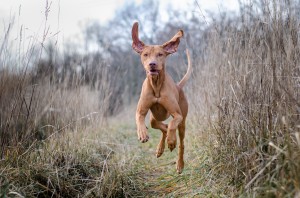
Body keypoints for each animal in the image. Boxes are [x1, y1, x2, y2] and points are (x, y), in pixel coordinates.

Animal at [132, 22, 192, 173]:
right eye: (145, 54)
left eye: (160, 54)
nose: (152, 64)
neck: (156, 86)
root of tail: (178, 86)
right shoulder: (140, 111)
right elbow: (140, 120)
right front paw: (142, 134)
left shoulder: (178, 115)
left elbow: (172, 124)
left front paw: (171, 141)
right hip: (154, 118)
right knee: (162, 126)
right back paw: (160, 148)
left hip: (183, 123)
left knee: (180, 141)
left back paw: (179, 161)